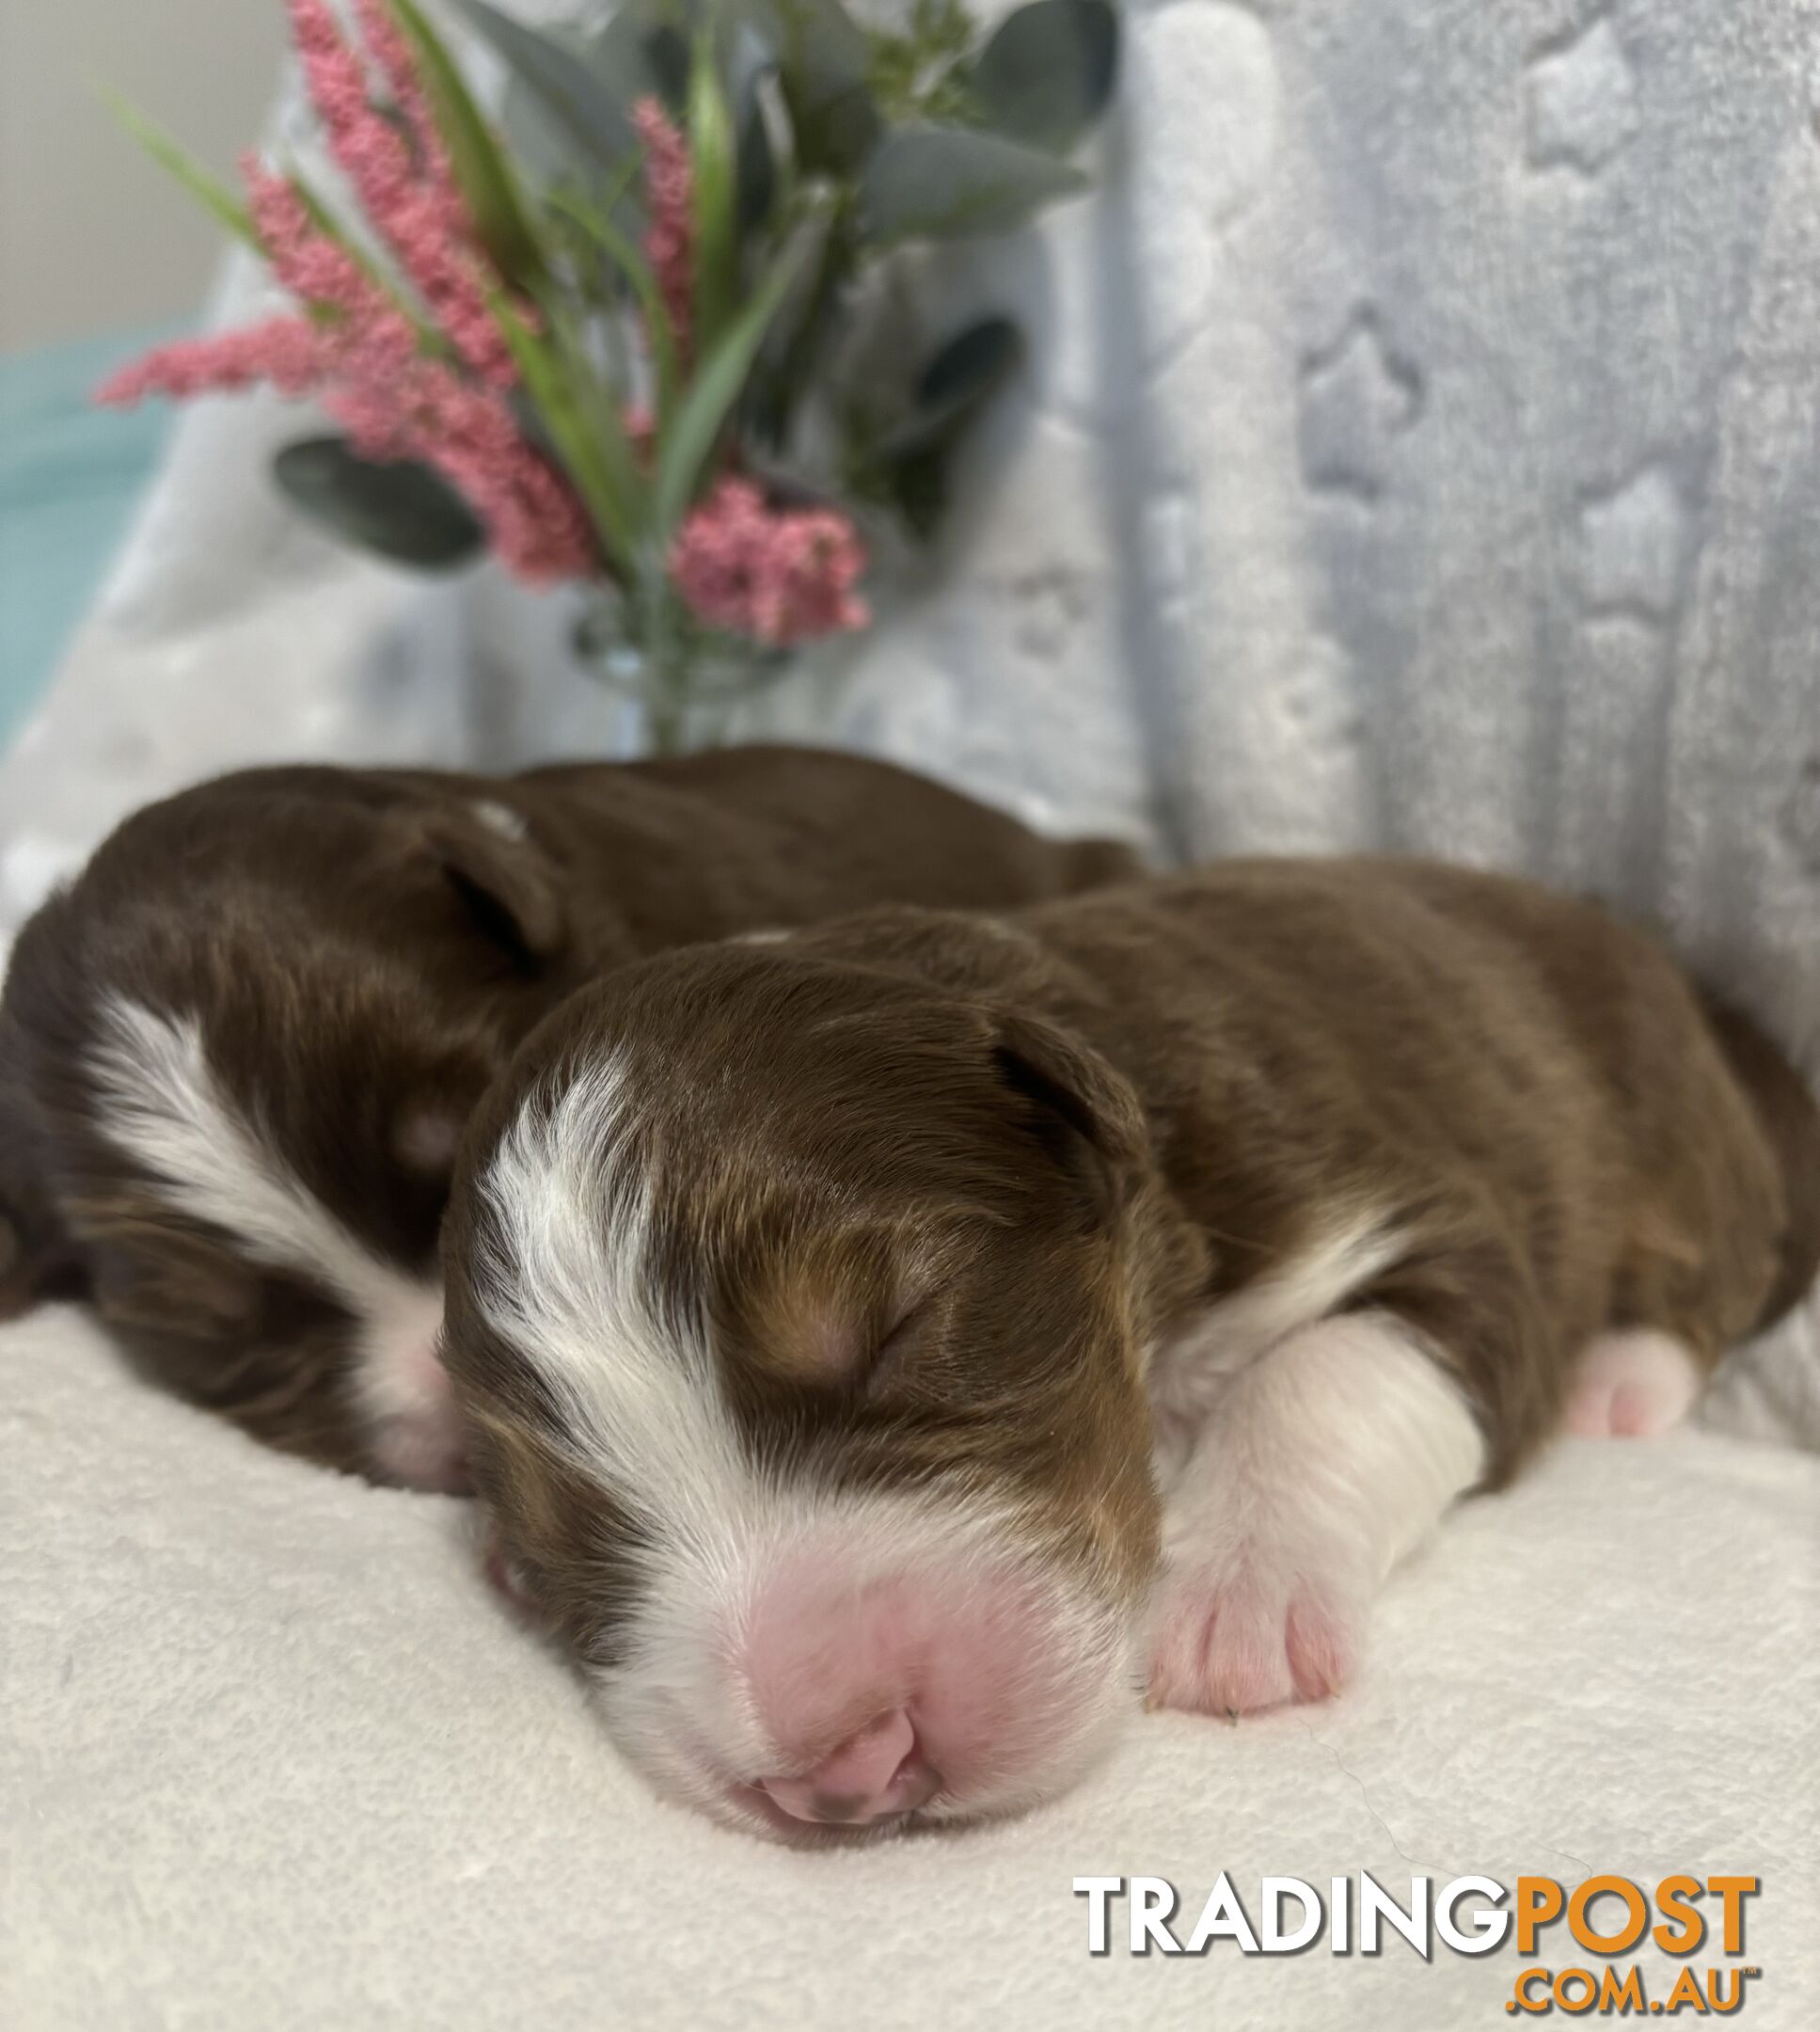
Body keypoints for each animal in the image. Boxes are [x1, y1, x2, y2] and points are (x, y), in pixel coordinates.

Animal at [440, 857, 1819, 1845]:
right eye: (545, 1543)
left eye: (894, 1330)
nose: (847, 1768)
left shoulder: (1432, 1218)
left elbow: (1324, 1370)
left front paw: (1236, 1597)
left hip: (1662, 1122)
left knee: (1716, 1270)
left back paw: (1621, 1379)